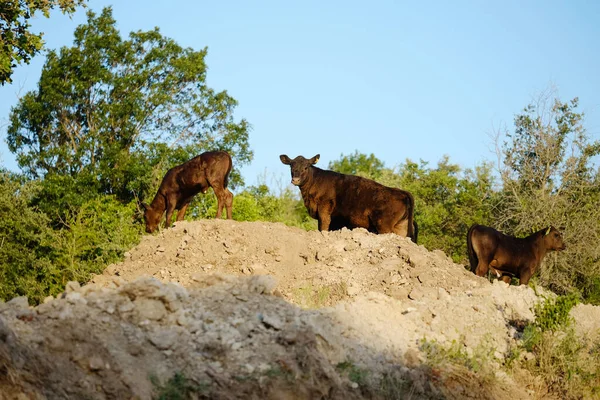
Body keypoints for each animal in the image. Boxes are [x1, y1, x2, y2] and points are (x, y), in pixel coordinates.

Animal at [278, 153, 414, 241]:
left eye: (305, 167)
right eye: (291, 166)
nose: (295, 179)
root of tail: (400, 192)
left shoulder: (324, 212)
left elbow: (323, 228)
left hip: (384, 225)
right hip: (400, 227)